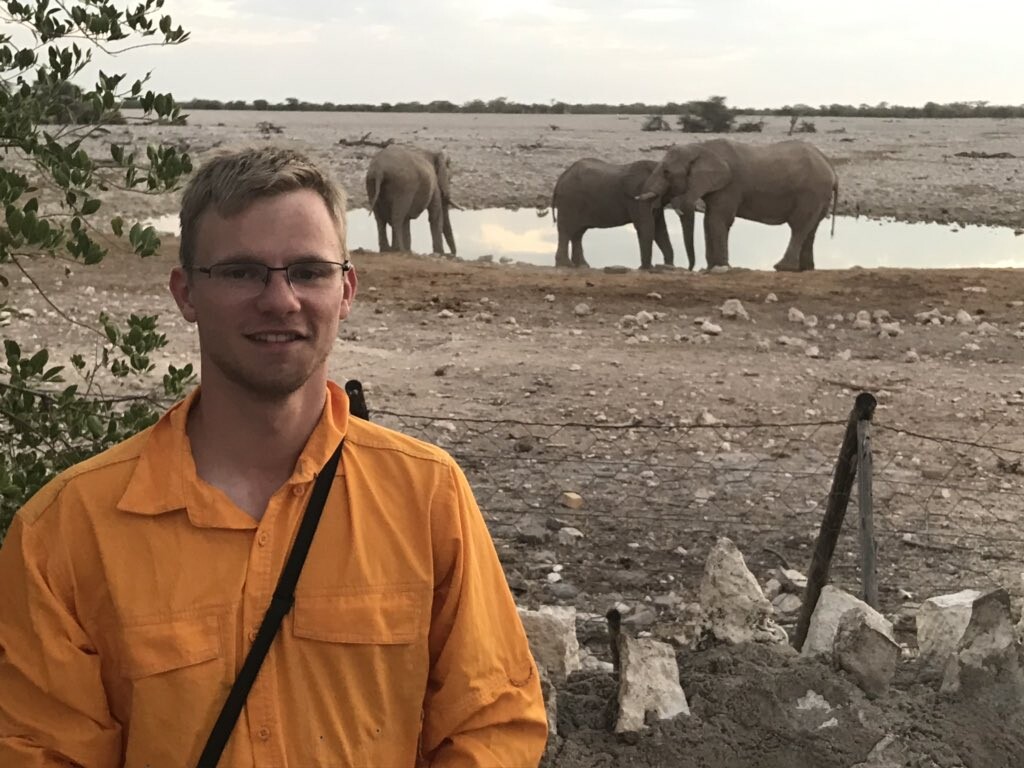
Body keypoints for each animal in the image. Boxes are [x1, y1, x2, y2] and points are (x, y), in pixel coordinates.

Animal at [548, 156, 692, 270]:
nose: (668, 265)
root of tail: (561, 177)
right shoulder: (636, 195)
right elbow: (645, 226)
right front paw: (647, 269)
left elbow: (659, 229)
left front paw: (668, 267)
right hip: (569, 201)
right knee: (566, 230)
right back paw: (565, 265)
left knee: (578, 233)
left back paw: (582, 266)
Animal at [634, 140, 835, 272]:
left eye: (666, 172)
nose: (690, 269)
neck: (700, 147)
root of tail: (829, 164)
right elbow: (709, 220)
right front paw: (712, 268)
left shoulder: (730, 185)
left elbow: (717, 220)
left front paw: (721, 267)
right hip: (820, 195)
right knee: (811, 229)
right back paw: (806, 268)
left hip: (811, 192)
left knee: (799, 226)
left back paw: (783, 267)